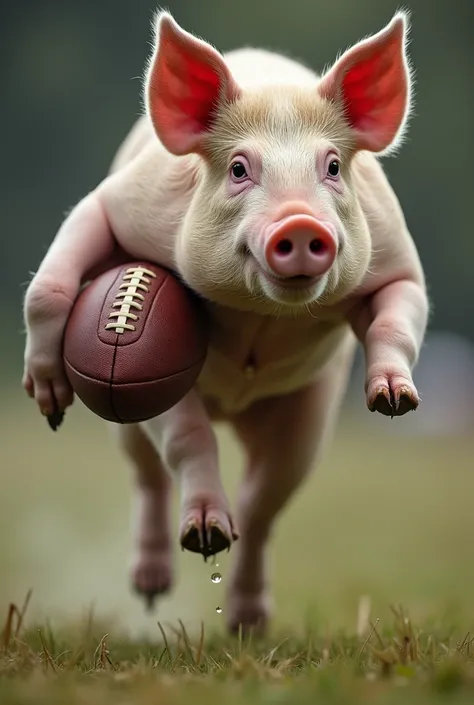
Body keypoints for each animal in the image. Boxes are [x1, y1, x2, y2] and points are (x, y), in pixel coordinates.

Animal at [22, 8, 430, 628]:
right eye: (239, 168)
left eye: (333, 166)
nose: (300, 223)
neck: (261, 316)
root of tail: (233, 408)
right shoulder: (121, 205)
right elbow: (184, 435)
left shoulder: (396, 257)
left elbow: (396, 316)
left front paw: (393, 402)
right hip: (127, 426)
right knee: (150, 475)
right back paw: (164, 577)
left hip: (306, 416)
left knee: (263, 504)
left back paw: (247, 622)